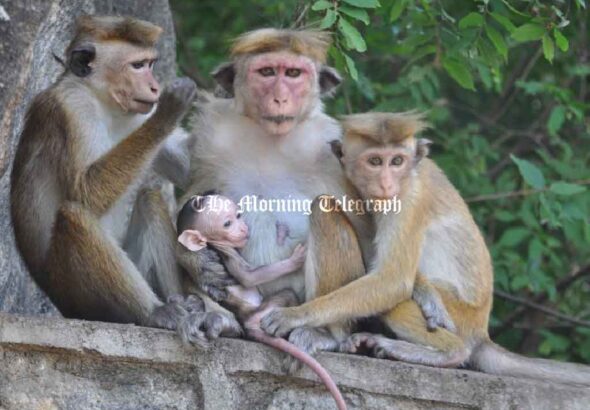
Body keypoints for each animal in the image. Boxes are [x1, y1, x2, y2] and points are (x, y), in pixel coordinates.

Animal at [178, 193, 350, 410]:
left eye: (238, 215)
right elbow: (249, 277)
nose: (243, 228)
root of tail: (246, 319)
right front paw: (296, 259)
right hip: (262, 312)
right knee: (286, 296)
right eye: (227, 223)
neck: (213, 244)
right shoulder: (227, 250)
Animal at [262, 111, 590, 384]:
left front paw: (295, 314)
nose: (386, 183)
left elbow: (393, 280)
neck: (410, 174)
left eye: (396, 161)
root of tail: (481, 330)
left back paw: (446, 352)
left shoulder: (408, 199)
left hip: (461, 317)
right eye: (375, 161)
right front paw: (424, 290)